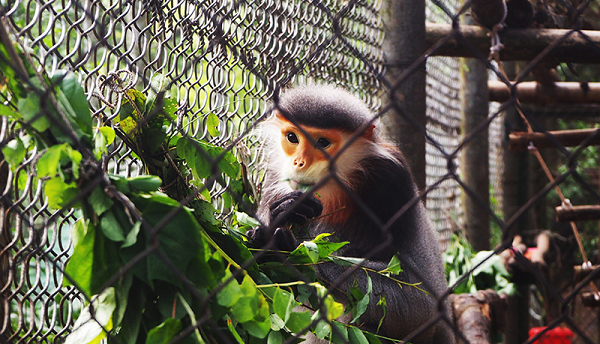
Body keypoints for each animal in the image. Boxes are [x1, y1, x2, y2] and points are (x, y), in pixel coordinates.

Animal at [248, 84, 454, 344]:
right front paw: (282, 214)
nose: (298, 162)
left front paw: (289, 250)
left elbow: (421, 306)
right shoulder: (277, 177)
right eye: (292, 138)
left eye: (322, 142)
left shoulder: (393, 179)